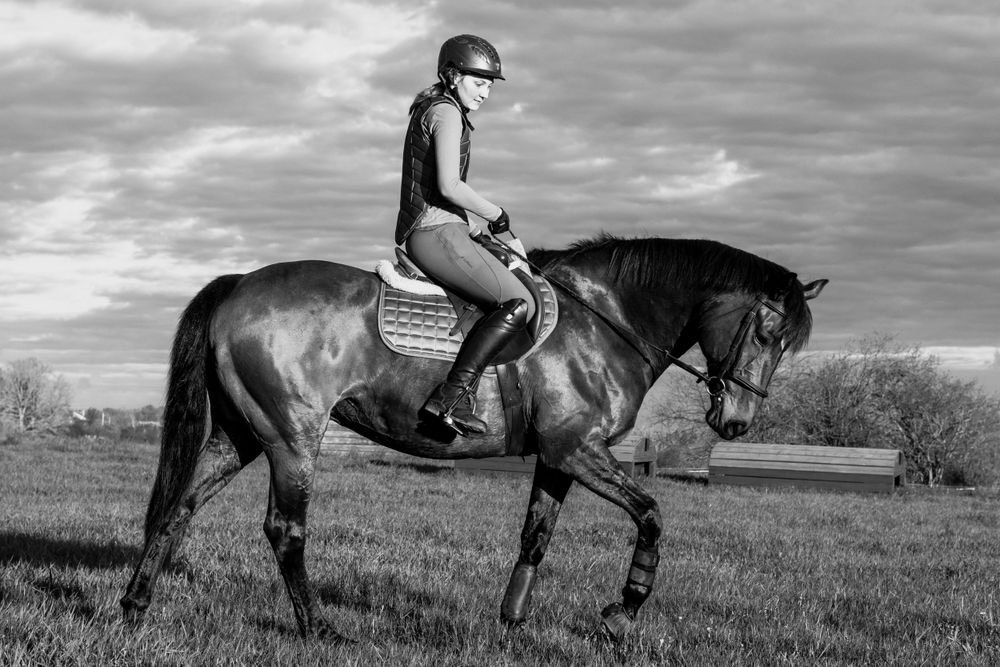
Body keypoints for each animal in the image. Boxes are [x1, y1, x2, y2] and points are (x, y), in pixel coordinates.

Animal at [120, 234, 827, 642]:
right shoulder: (577, 449)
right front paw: (622, 612)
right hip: (293, 437)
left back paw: (135, 606)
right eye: (767, 332)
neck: (607, 318)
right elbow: (652, 513)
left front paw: (511, 624)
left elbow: (537, 534)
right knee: (284, 529)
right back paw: (319, 629)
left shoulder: (559, 457)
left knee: (179, 508)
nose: (736, 423)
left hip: (240, 435)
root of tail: (240, 285)